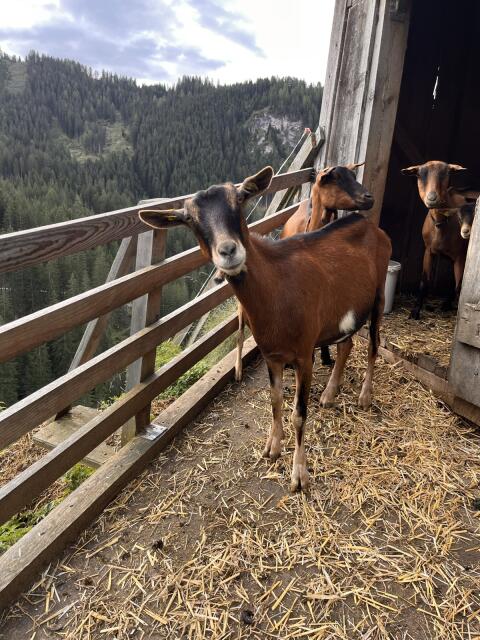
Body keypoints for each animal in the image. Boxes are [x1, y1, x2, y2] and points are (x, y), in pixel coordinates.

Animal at [402, 161, 478, 319]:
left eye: (447, 173)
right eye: (419, 174)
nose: (432, 198)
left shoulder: (460, 256)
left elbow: (459, 285)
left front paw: (446, 305)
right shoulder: (428, 251)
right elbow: (424, 282)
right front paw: (415, 311)